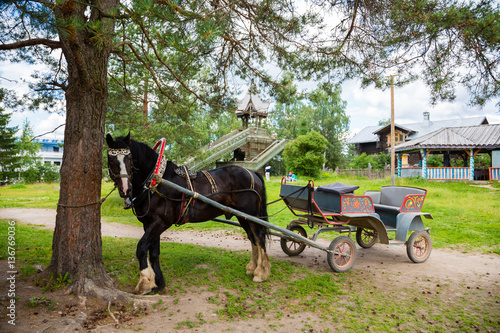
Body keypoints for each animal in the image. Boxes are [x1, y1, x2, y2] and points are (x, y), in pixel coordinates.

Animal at [104, 132, 270, 294]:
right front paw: (159, 283)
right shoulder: (150, 224)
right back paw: (253, 267)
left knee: (260, 238)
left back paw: (261, 272)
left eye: (129, 158)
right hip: (243, 217)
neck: (157, 181)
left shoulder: (160, 223)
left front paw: (145, 282)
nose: (125, 189)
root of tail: (252, 172)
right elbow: (154, 252)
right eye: (111, 159)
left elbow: (141, 248)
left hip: (252, 216)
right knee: (253, 238)